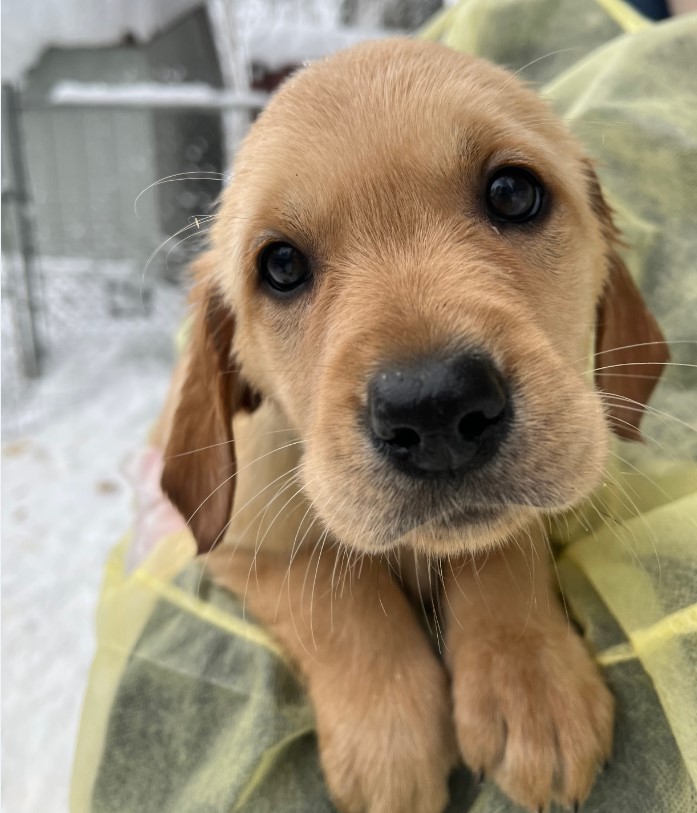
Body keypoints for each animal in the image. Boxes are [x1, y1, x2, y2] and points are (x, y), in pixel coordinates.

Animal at [155, 36, 668, 812]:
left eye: (512, 193)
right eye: (280, 265)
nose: (434, 409)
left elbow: (500, 543)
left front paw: (531, 686)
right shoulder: (239, 542)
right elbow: (334, 592)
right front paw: (388, 742)